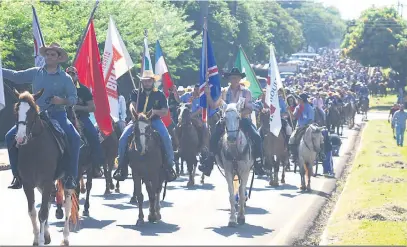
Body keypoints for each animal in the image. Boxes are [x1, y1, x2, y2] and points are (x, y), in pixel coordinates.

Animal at [13, 89, 77, 246]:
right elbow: (33, 211)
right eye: (17, 110)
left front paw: (41, 240)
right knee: (47, 202)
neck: (35, 148)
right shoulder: (28, 184)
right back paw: (47, 234)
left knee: (67, 204)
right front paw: (38, 238)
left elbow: (42, 213)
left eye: (33, 113)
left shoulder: (47, 182)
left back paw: (65, 237)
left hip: (67, 179)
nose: (20, 138)